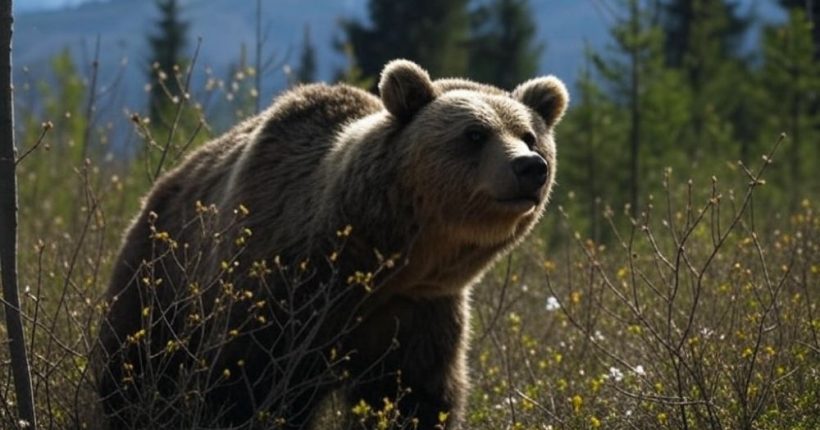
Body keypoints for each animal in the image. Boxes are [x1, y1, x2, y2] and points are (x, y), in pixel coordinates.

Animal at [97, 59, 568, 429]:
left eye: (530, 135)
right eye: (474, 134)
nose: (530, 167)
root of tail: (158, 189)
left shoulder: (418, 312)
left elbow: (414, 398)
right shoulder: (279, 289)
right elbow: (242, 386)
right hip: (156, 280)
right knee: (130, 368)